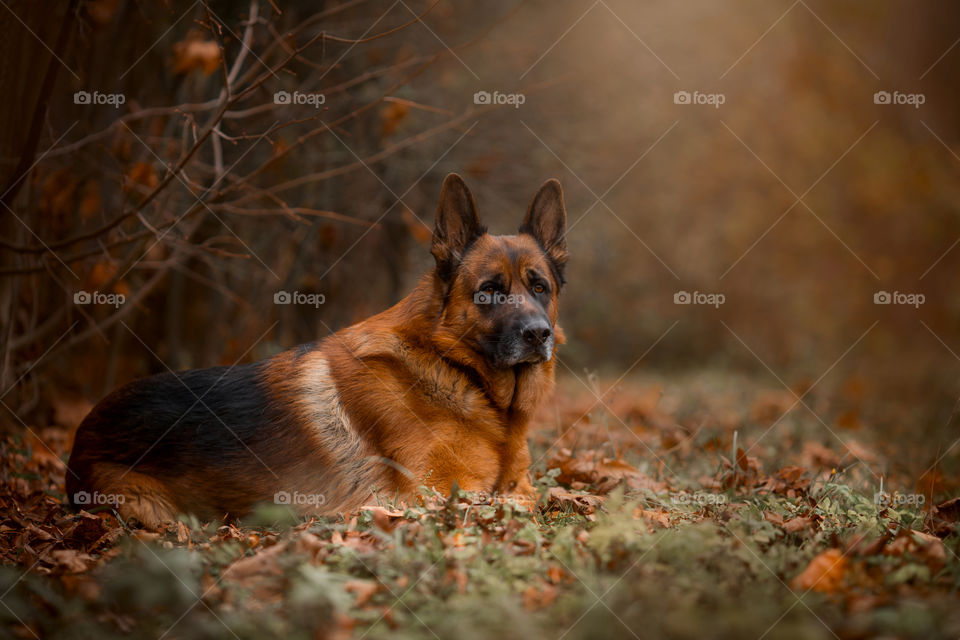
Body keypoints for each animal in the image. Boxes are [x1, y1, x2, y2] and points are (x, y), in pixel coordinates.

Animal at [67, 174, 568, 524]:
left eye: (539, 288)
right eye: (488, 292)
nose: (537, 334)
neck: (457, 371)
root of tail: (80, 435)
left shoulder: (513, 483)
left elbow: (538, 495)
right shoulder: (437, 494)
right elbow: (525, 503)